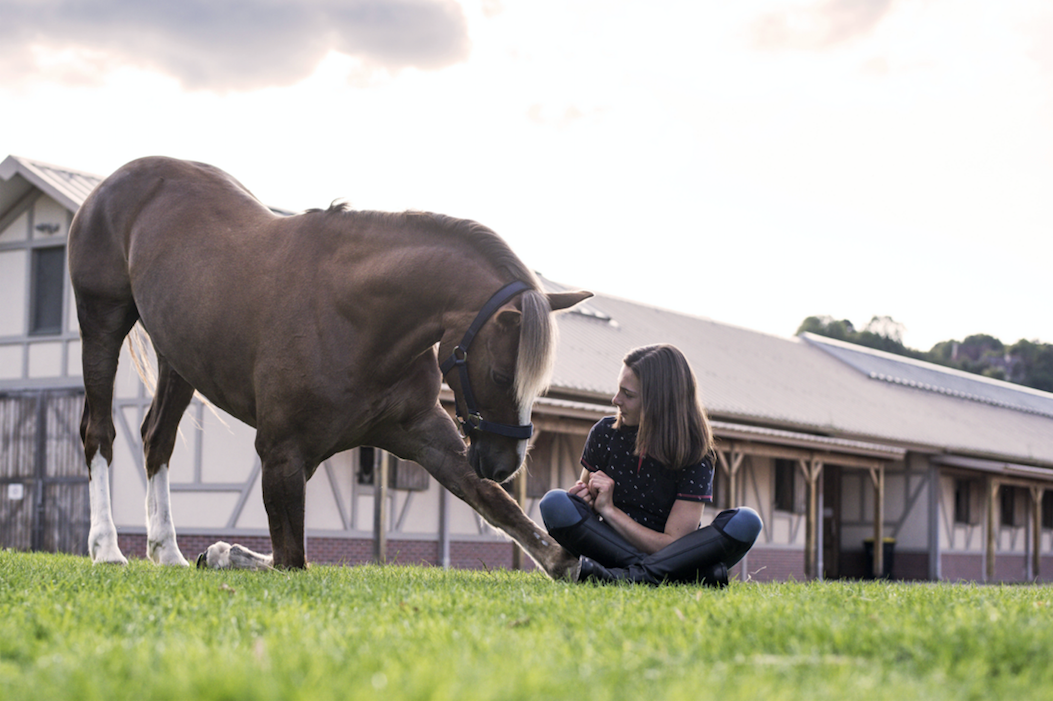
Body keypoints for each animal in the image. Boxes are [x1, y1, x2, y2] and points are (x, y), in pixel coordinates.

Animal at [68, 156, 590, 578]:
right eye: (502, 376)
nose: (506, 464)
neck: (354, 317)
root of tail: (117, 181)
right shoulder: (280, 453)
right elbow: (290, 559)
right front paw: (220, 552)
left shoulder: (424, 432)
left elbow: (495, 504)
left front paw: (563, 560)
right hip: (102, 324)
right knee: (100, 434)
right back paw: (107, 548)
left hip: (177, 358)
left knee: (157, 441)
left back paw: (168, 551)